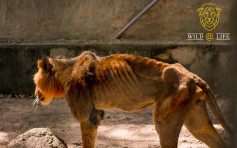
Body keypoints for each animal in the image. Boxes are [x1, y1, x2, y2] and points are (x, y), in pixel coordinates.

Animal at [33, 50, 231, 147]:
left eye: (35, 82)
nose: (35, 94)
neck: (66, 71)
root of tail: (191, 75)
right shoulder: (96, 114)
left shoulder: (88, 116)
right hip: (197, 122)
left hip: (164, 120)